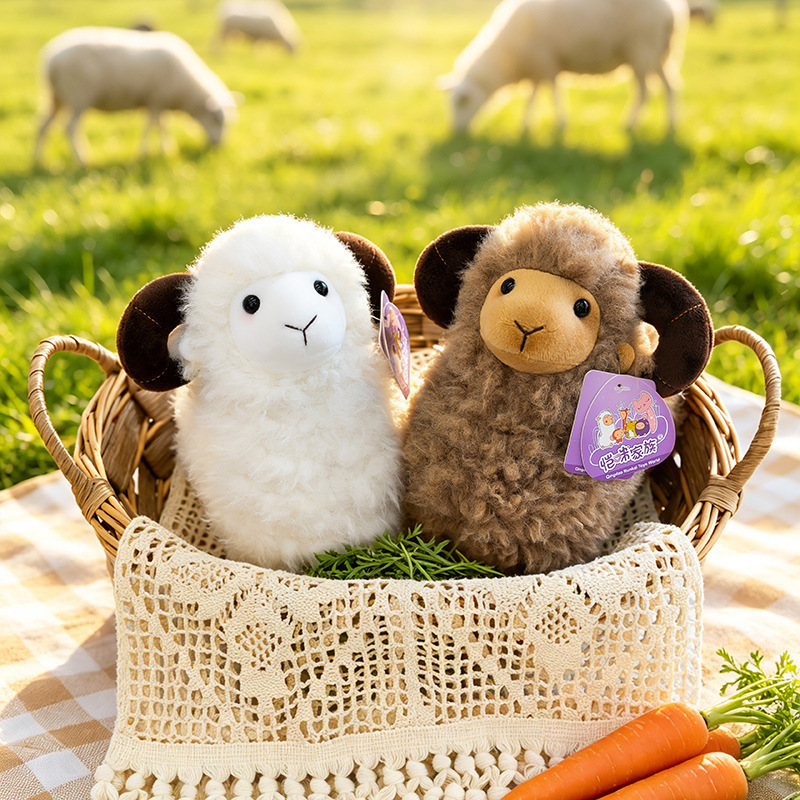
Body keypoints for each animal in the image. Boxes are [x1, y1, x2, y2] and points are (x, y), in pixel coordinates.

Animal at [34, 27, 236, 166]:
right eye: (218, 120)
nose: (218, 146)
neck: (187, 91)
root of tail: (51, 61)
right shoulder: (156, 101)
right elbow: (154, 127)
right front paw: (152, 151)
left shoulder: (156, 103)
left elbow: (159, 126)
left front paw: (163, 150)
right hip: (78, 97)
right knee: (70, 128)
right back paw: (82, 159)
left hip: (56, 98)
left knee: (43, 126)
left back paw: (39, 161)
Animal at [439, 0, 689, 134]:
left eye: (461, 102)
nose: (457, 132)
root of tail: (670, 10)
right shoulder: (537, 67)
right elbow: (533, 96)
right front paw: (526, 125)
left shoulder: (545, 62)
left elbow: (552, 93)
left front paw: (560, 123)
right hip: (659, 56)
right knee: (670, 87)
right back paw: (671, 124)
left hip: (643, 50)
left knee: (644, 92)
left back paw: (629, 123)